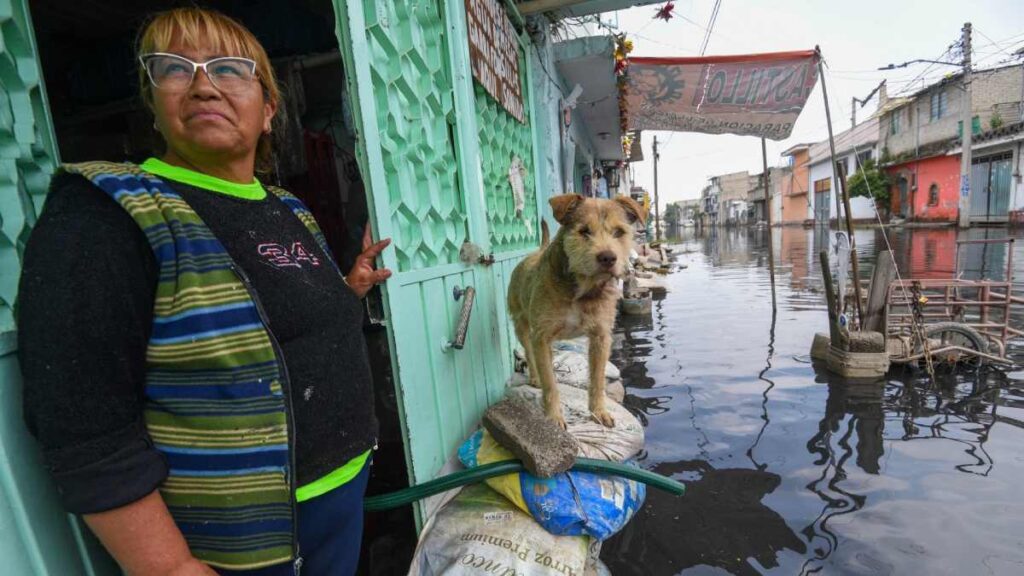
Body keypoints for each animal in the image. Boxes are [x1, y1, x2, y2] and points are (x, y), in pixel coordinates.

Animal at [507, 193, 643, 426]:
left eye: (619, 232)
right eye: (584, 231)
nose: (608, 258)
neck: (581, 291)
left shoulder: (601, 337)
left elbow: (597, 379)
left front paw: (599, 411)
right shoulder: (541, 337)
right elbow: (550, 383)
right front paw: (553, 418)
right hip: (521, 326)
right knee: (529, 353)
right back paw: (534, 377)